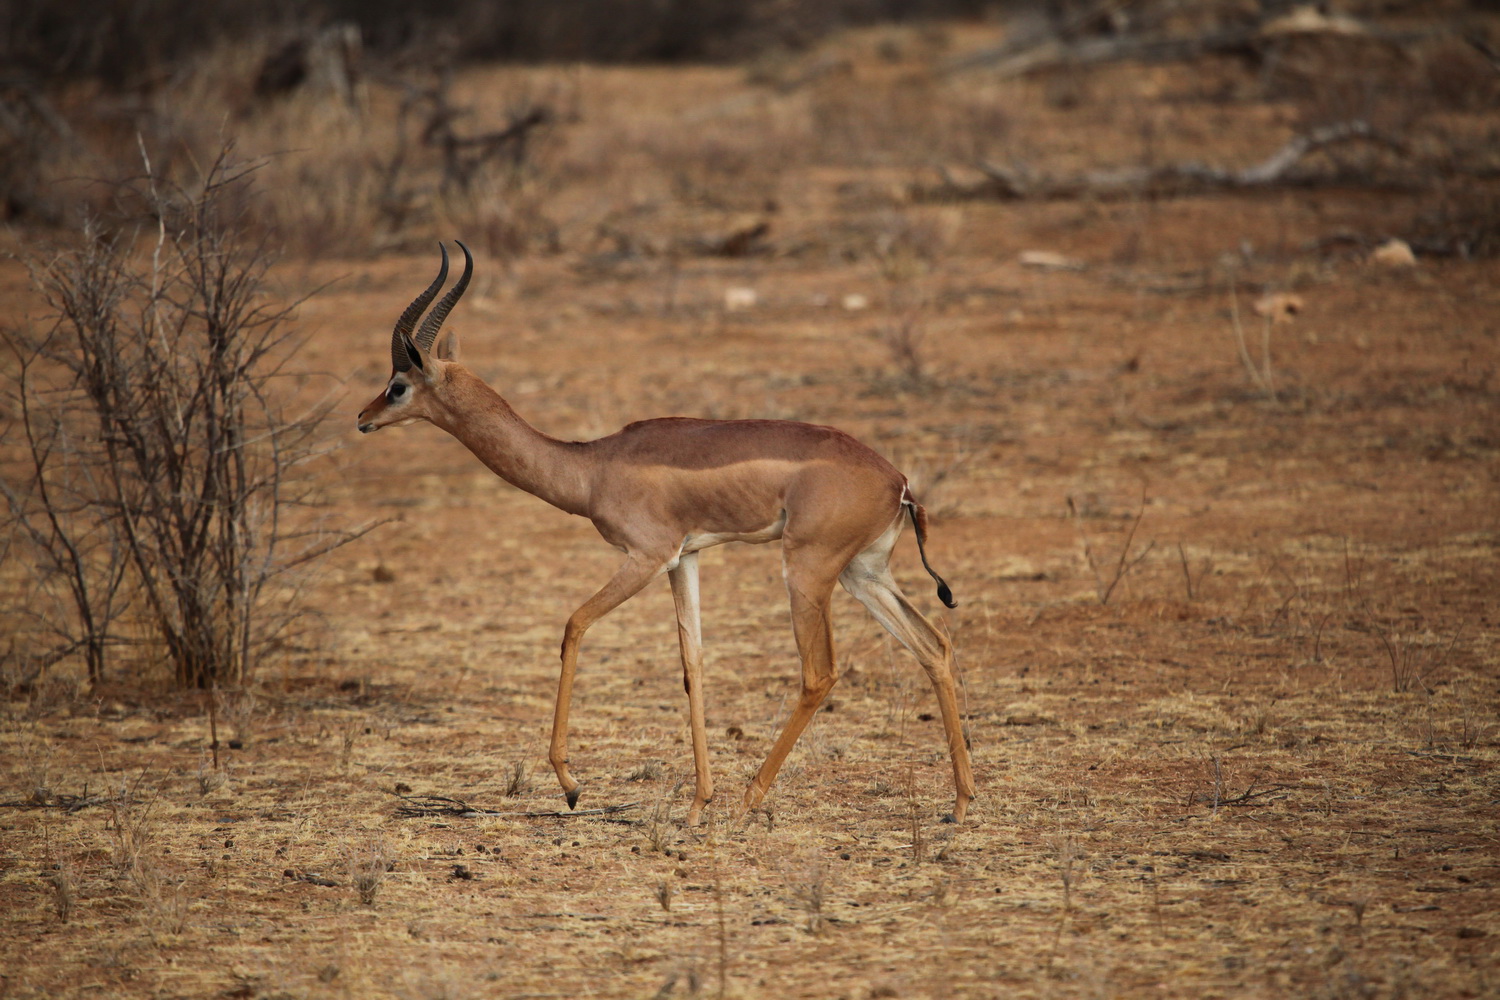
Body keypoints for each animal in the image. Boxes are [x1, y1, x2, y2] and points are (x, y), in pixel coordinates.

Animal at [357, 242, 978, 821]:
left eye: (397, 384)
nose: (362, 418)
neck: (592, 467)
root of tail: (898, 480)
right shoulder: (686, 559)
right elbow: (692, 663)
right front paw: (698, 802)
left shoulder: (646, 556)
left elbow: (574, 624)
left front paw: (572, 784)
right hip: (861, 573)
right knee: (934, 646)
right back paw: (960, 802)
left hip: (807, 570)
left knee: (819, 674)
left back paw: (750, 798)